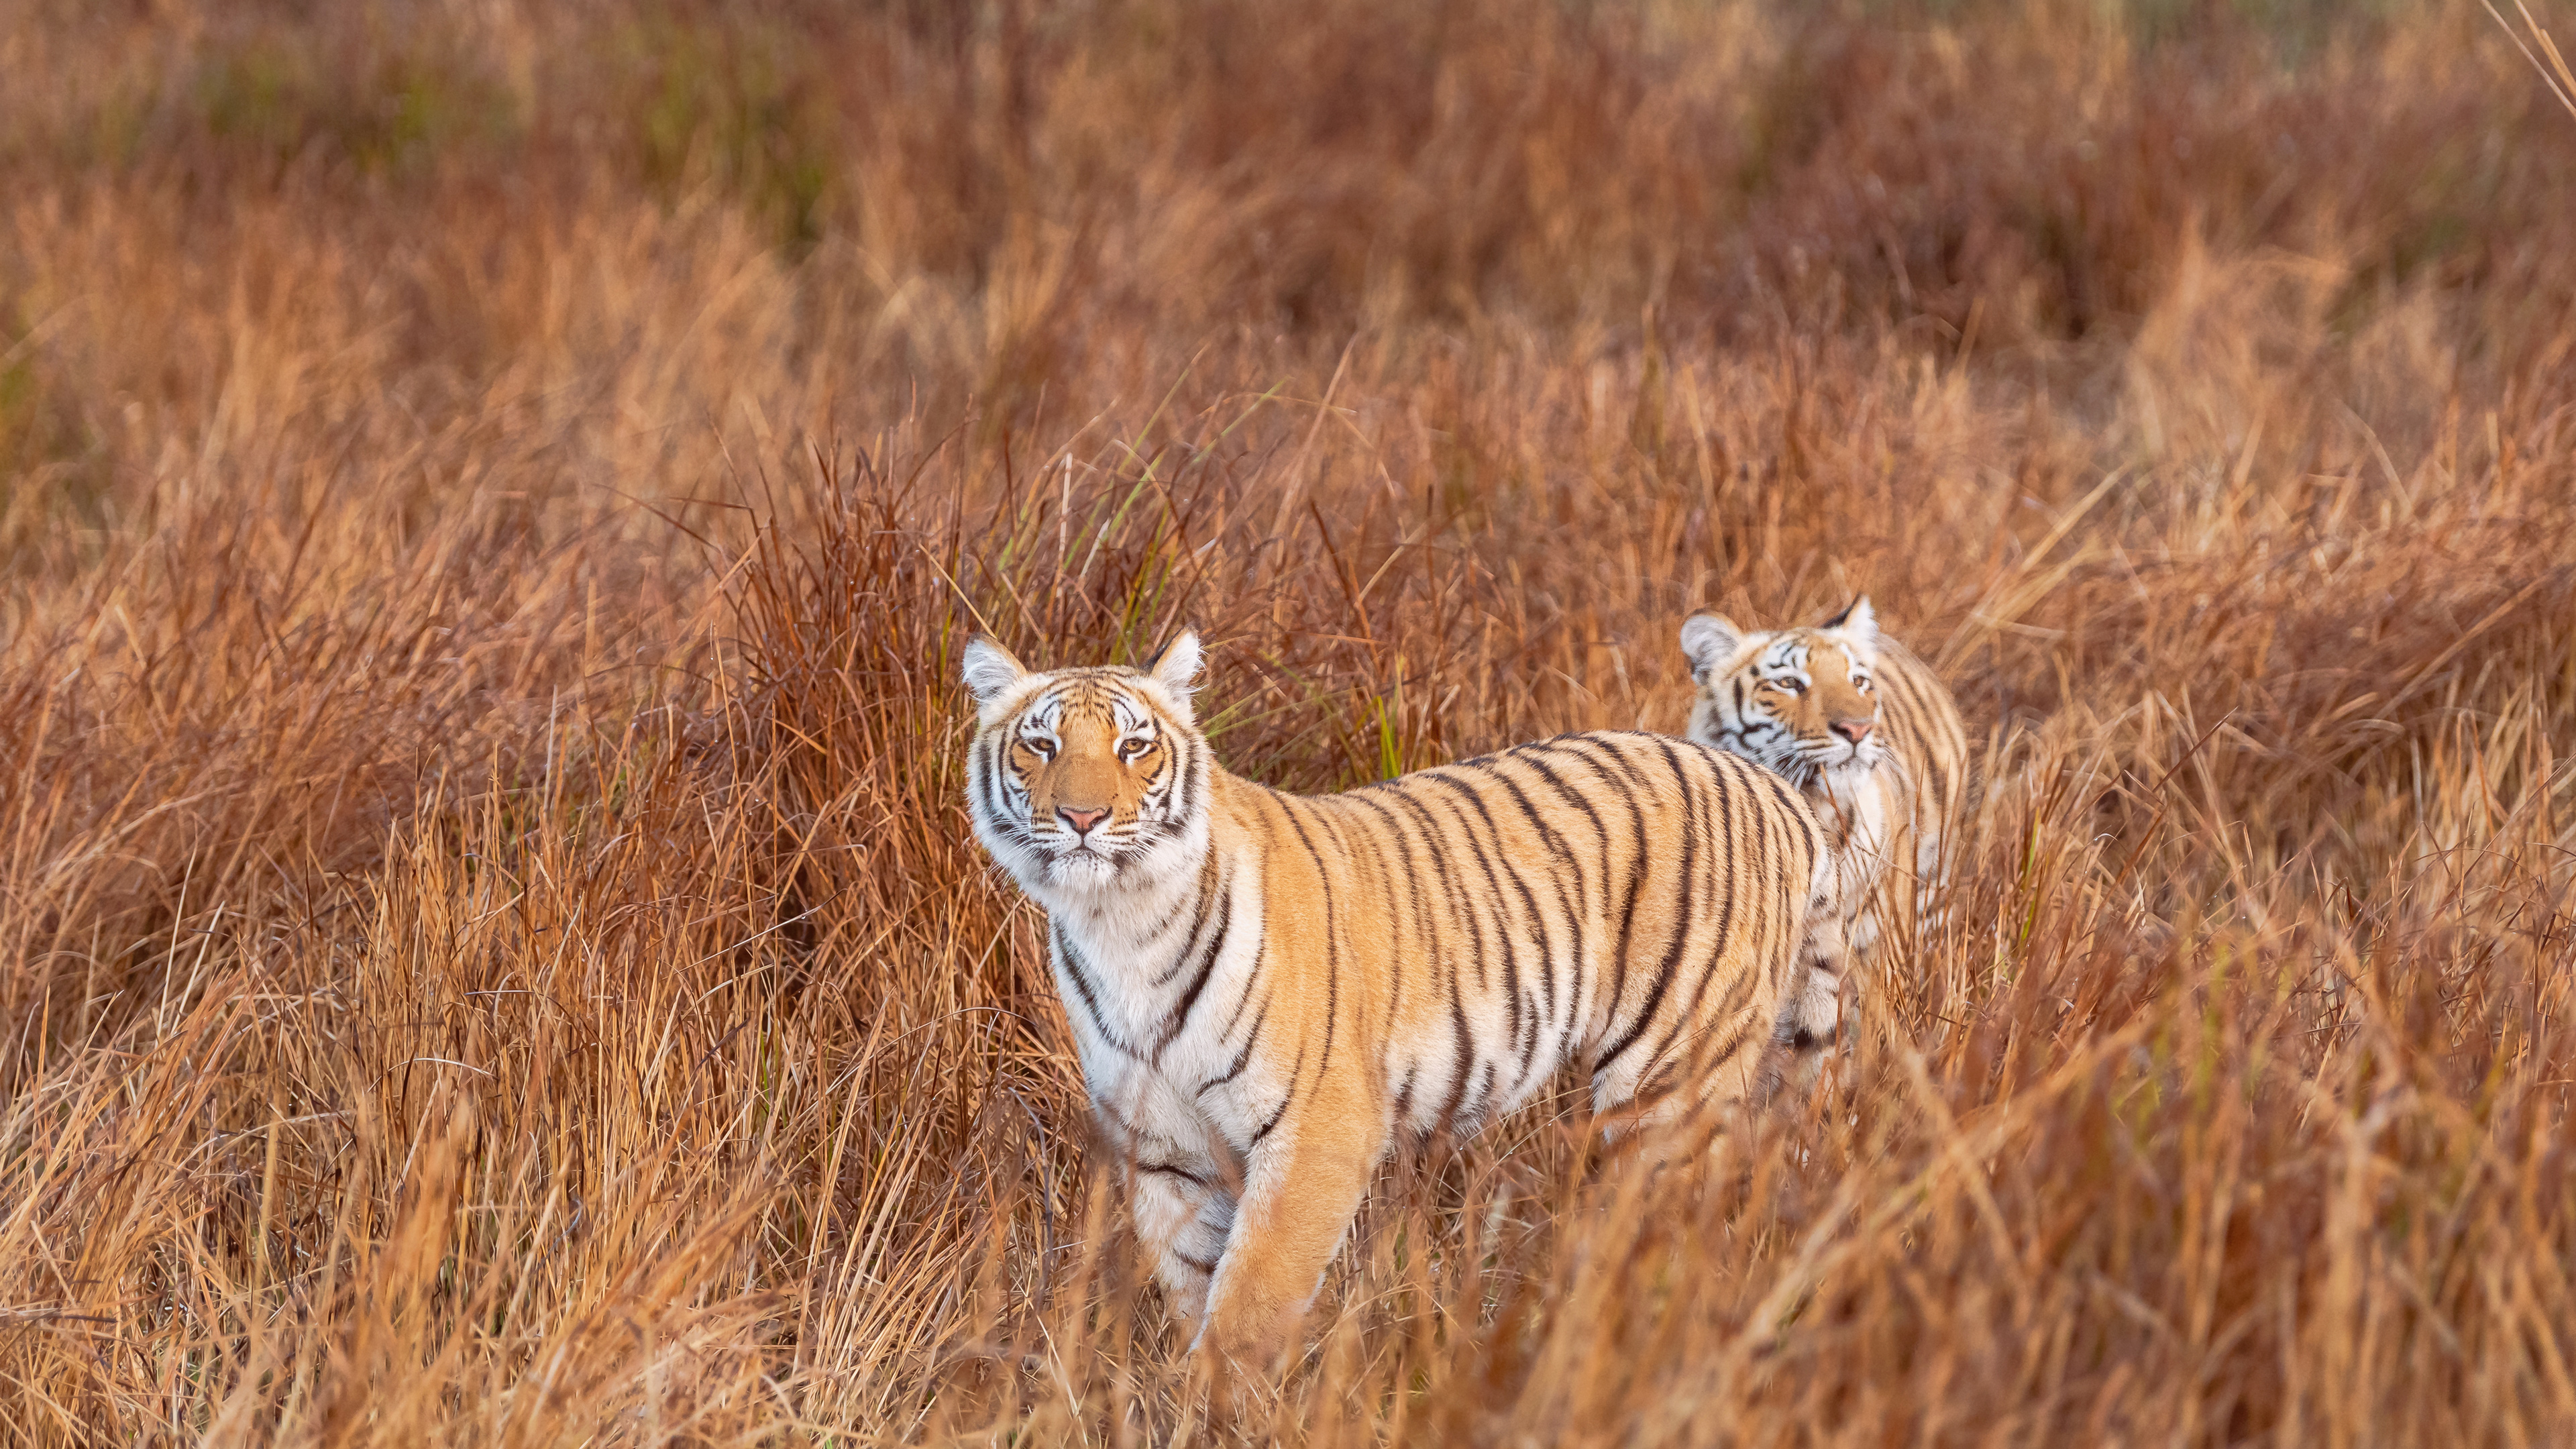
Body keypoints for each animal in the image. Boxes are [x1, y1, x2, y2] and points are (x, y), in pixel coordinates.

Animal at [963, 629, 1834, 1361]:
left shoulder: (1317, 1130)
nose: (1082, 816)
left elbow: (1250, 1298)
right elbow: (1193, 1284)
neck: (1120, 924)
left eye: (1134, 746)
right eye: (1041, 745)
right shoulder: (1163, 1148)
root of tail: (1772, 789)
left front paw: (1217, 1405)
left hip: (1671, 1087)